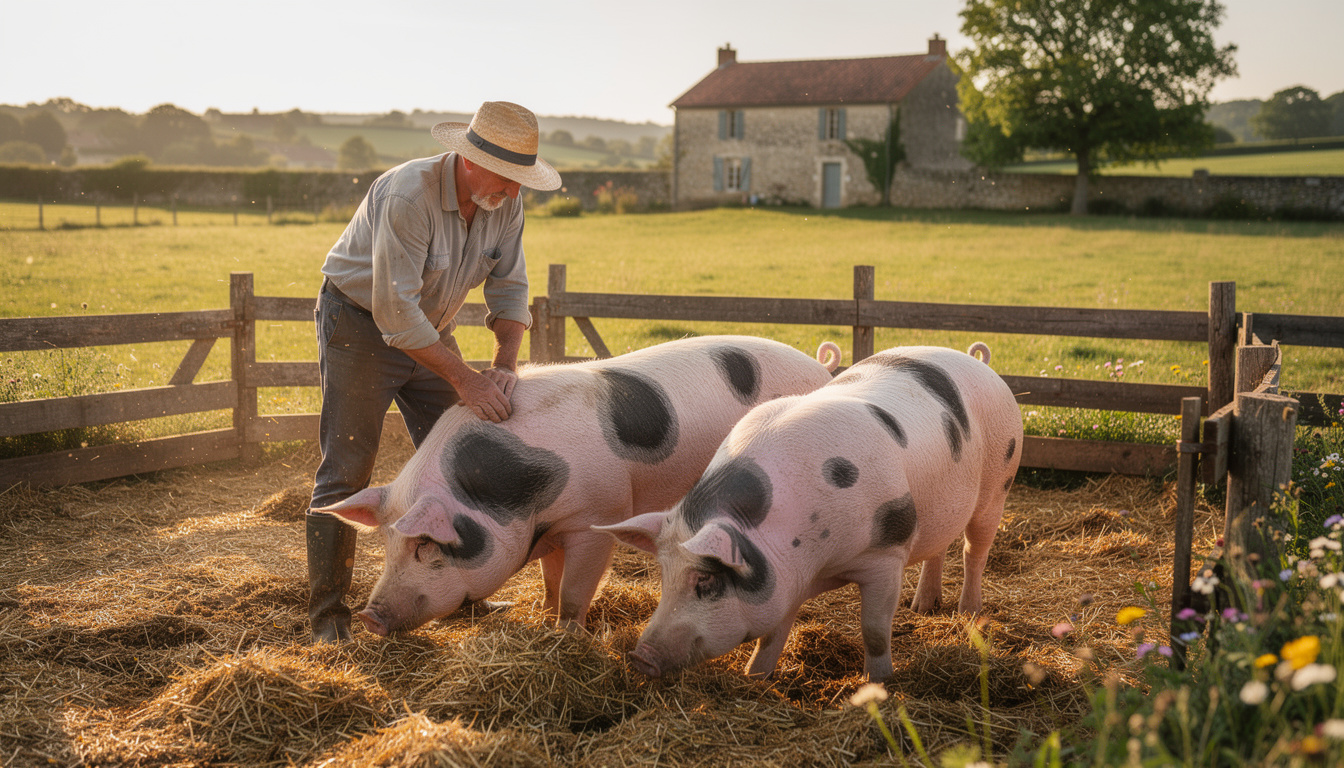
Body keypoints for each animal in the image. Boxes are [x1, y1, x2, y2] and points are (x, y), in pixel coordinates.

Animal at [316, 335, 842, 636]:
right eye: (387, 544)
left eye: (425, 545)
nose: (369, 618)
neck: (525, 498)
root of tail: (820, 367)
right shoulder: (552, 529)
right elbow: (552, 579)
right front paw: (545, 618)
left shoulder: (596, 515)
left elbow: (575, 588)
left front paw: (568, 635)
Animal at [596, 343, 1023, 682]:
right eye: (664, 577)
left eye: (706, 580)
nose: (640, 657)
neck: (818, 560)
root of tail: (974, 360)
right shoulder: (785, 578)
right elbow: (772, 633)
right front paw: (754, 678)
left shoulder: (887, 554)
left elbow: (873, 631)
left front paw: (879, 683)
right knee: (939, 547)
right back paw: (922, 607)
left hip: (999, 483)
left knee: (974, 550)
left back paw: (968, 614)